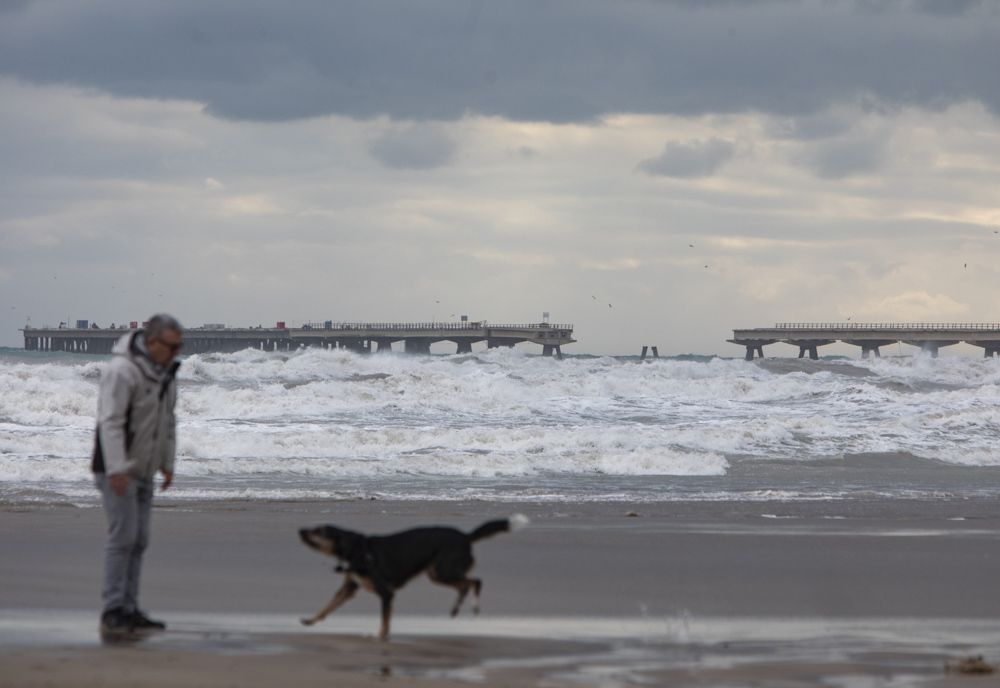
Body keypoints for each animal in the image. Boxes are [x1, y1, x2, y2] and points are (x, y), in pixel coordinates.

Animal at [298, 516, 532, 640]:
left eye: (319, 531)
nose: (300, 530)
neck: (356, 549)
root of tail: (466, 536)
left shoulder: (386, 593)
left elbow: (385, 621)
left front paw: (381, 637)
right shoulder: (349, 588)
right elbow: (327, 606)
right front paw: (311, 620)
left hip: (443, 570)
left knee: (476, 581)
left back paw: (474, 607)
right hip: (437, 574)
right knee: (464, 586)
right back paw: (455, 610)